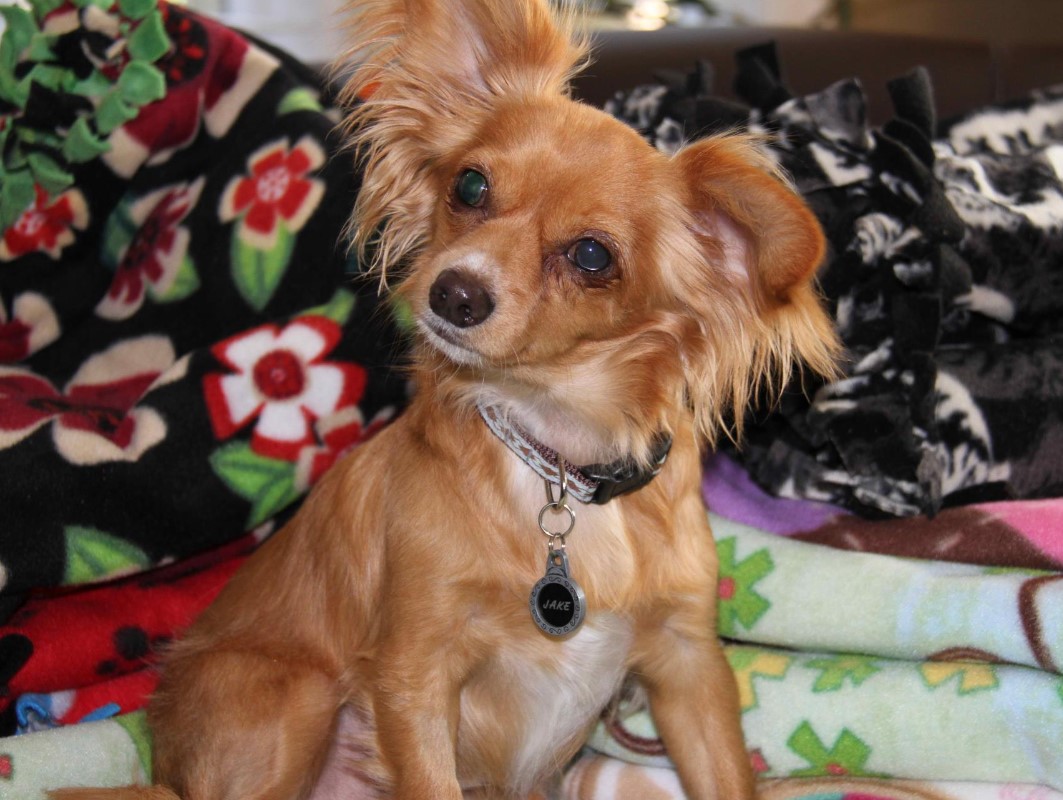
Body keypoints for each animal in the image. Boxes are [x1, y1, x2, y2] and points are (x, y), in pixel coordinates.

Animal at [56, 1, 837, 798]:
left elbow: (726, 774)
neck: (554, 459)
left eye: (592, 256)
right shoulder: (414, 674)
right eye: (470, 186)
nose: (455, 293)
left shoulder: (688, 667)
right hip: (292, 700)